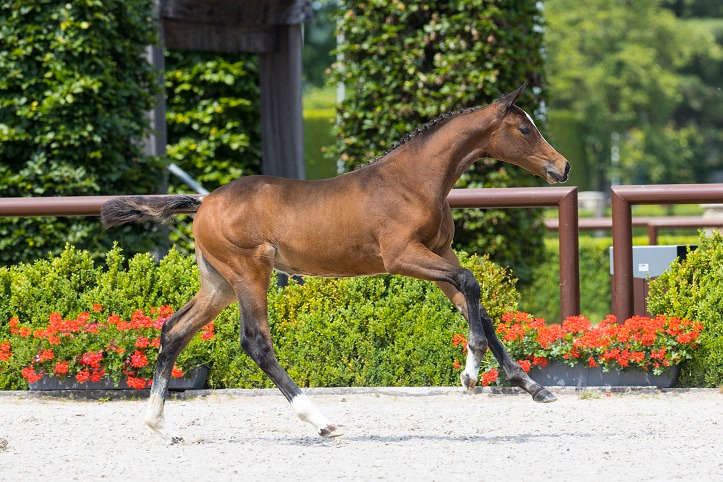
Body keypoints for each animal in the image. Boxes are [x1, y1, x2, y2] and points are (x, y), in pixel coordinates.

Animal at [101, 84, 570, 443]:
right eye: (525, 128)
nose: (562, 167)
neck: (413, 181)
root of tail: (203, 203)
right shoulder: (402, 257)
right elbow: (471, 284)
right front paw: (470, 372)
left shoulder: (440, 253)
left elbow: (478, 307)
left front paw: (532, 386)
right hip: (250, 274)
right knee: (255, 342)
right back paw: (322, 422)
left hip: (218, 284)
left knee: (173, 330)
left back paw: (161, 426)